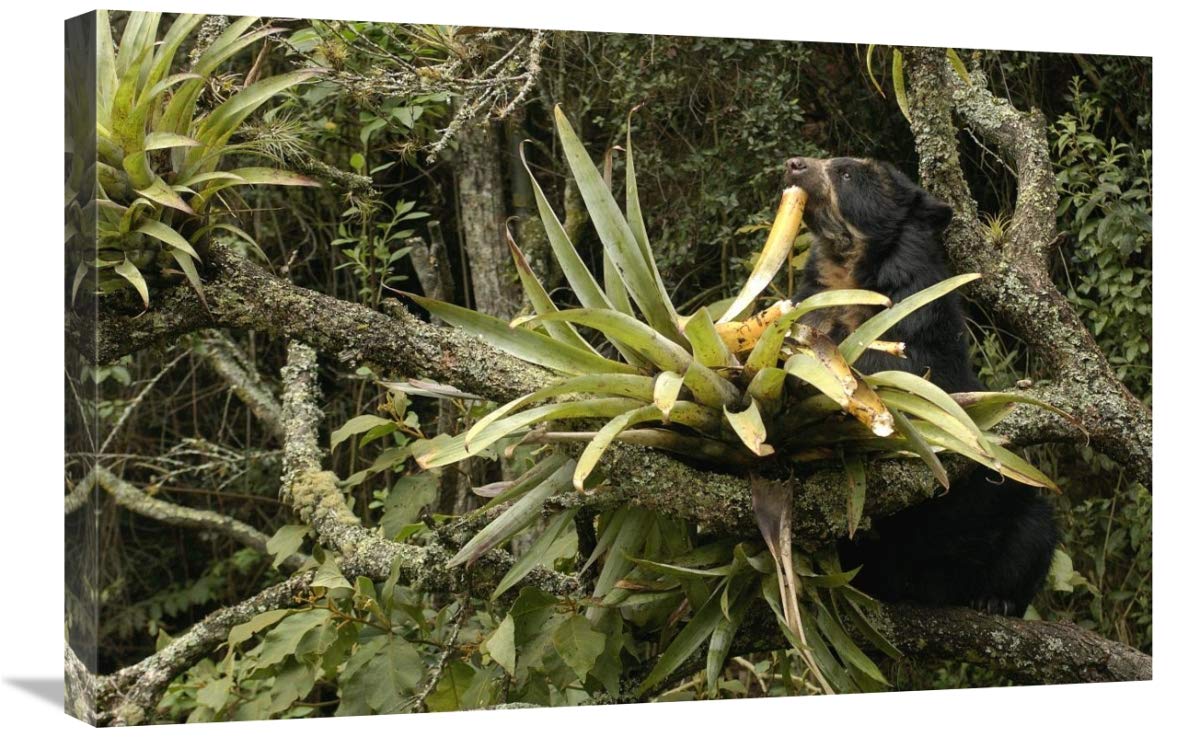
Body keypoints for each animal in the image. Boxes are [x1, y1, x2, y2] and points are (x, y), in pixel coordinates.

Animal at [783, 155, 1058, 616]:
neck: (848, 274)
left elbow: (902, 370)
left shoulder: (916, 317)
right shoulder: (814, 303)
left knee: (1036, 535)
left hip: (1014, 508)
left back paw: (994, 601)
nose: (793, 165)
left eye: (845, 173)